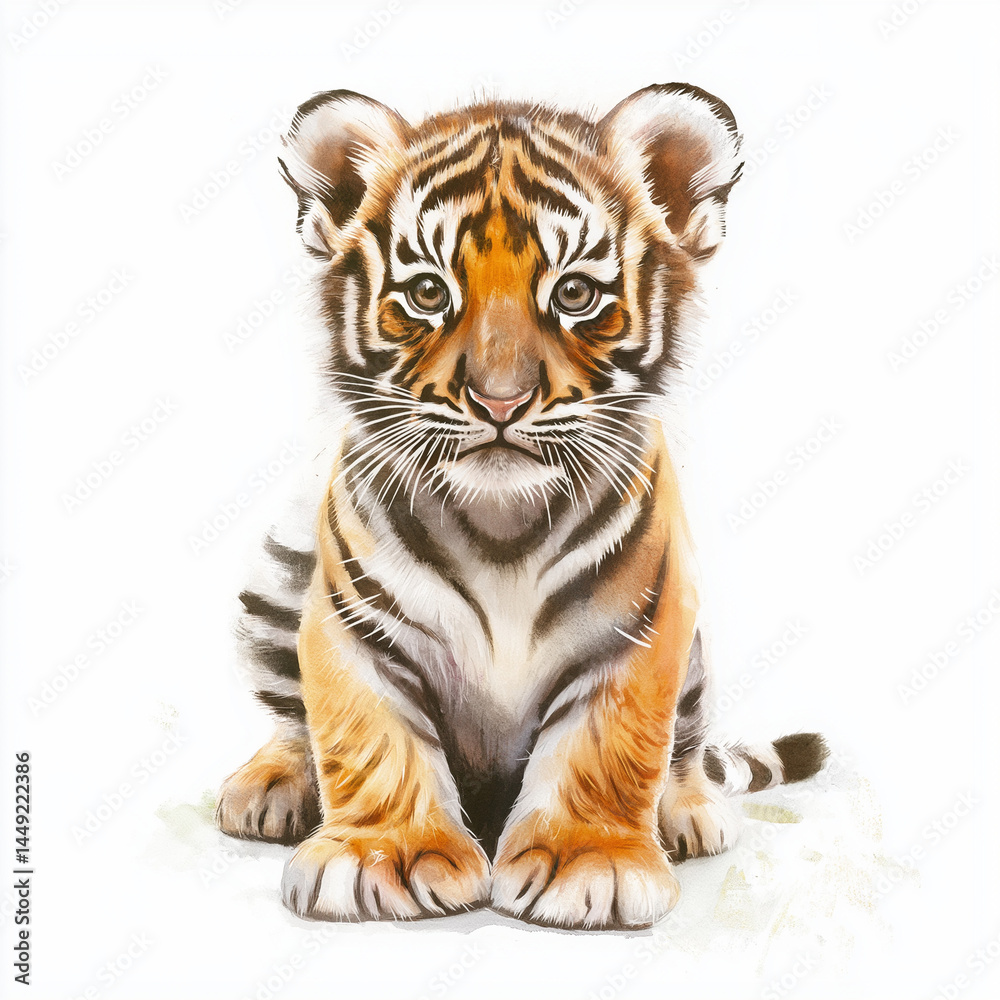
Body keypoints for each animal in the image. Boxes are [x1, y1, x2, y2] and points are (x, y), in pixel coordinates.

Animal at [215, 83, 828, 930]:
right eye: (428, 292)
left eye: (574, 293)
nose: (499, 401)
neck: (501, 525)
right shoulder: (352, 626)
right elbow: (368, 738)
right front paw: (384, 859)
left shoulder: (636, 629)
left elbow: (608, 747)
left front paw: (591, 864)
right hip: (278, 575)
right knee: (289, 719)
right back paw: (269, 788)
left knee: (686, 748)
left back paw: (689, 812)